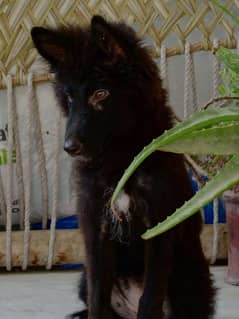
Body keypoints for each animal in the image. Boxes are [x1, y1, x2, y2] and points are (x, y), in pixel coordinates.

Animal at [30, 15, 216, 319]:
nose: (69, 148)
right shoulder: (96, 228)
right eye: (68, 98)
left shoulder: (159, 226)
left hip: (190, 277)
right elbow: (97, 296)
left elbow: (150, 297)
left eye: (100, 93)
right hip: (83, 277)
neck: (121, 161)